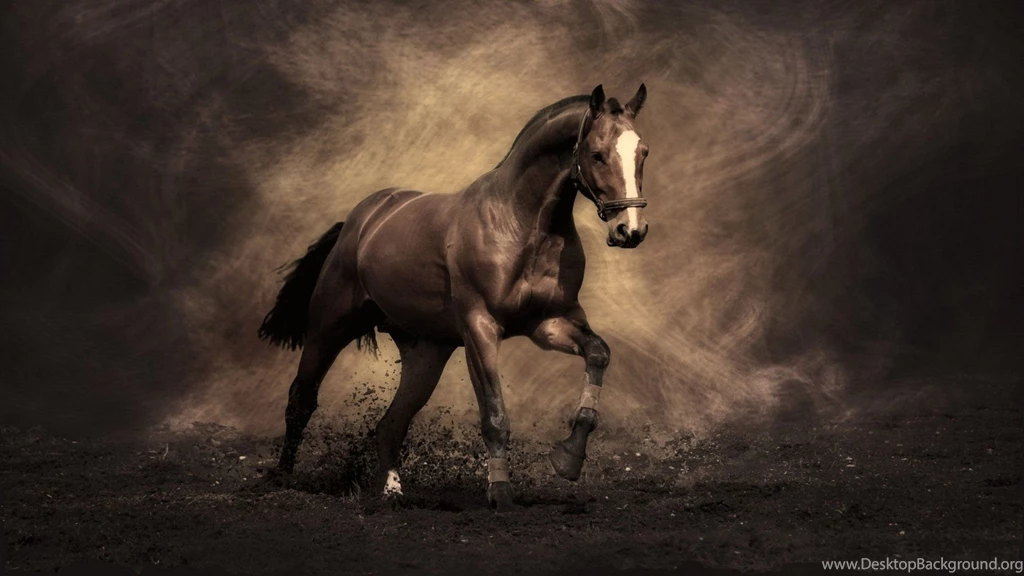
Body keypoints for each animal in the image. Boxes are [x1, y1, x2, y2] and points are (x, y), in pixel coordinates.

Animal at [258, 84, 651, 511]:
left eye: (643, 152)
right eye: (596, 153)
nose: (631, 230)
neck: (522, 225)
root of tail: (361, 221)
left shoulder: (549, 324)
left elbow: (598, 354)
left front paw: (568, 459)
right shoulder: (480, 328)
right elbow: (494, 415)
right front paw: (501, 494)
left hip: (426, 354)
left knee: (391, 424)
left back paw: (391, 492)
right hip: (329, 327)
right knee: (301, 399)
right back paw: (282, 478)